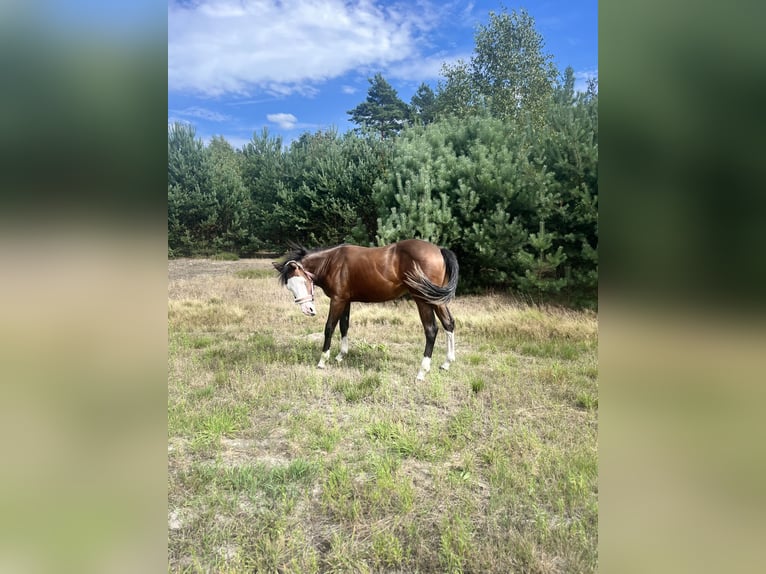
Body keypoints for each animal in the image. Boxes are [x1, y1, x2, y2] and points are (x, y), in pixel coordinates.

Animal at [273, 239, 459, 381]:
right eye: (290, 286)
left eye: (302, 280)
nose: (308, 309)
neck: (332, 262)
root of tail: (439, 250)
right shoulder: (346, 300)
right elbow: (344, 326)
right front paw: (341, 355)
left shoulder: (337, 300)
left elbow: (329, 327)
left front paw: (322, 361)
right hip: (437, 299)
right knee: (448, 323)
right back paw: (446, 363)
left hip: (423, 300)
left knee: (431, 330)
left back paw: (422, 371)